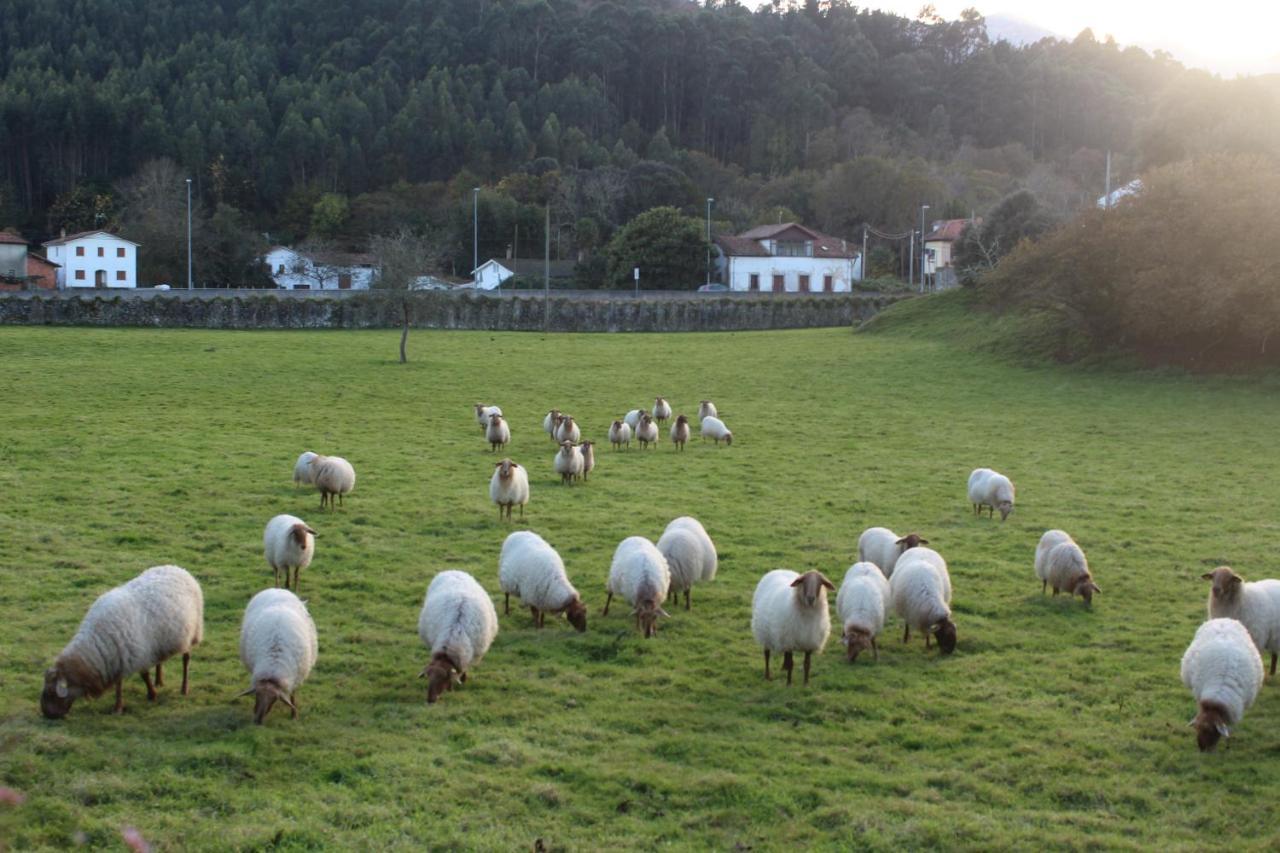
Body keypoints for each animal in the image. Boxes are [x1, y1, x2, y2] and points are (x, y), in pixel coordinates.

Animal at [40, 563, 203, 717]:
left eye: (52, 693)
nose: (47, 715)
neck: (97, 642)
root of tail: (177, 568)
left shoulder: (138, 655)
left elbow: (143, 676)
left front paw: (151, 695)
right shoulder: (119, 658)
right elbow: (119, 683)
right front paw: (118, 707)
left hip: (192, 632)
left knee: (186, 660)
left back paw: (184, 688)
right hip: (160, 640)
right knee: (160, 660)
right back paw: (159, 681)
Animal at [240, 589, 320, 722]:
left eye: (274, 699)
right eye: (257, 695)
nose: (258, 721)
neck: (273, 665)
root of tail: (278, 589)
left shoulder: (294, 679)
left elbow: (292, 696)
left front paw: (294, 715)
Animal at [419, 568, 499, 701]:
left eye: (444, 678)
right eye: (428, 677)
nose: (430, 700)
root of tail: (452, 570)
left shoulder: (467, 655)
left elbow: (463, 670)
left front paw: (460, 682)